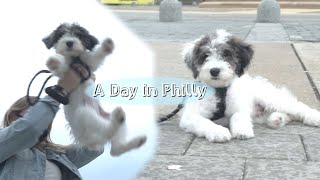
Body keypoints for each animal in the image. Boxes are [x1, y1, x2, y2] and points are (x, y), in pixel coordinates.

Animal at [42, 22, 146, 155]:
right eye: (61, 35)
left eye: (78, 35)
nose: (69, 42)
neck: (75, 58)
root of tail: (90, 143)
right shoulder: (65, 73)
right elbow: (62, 66)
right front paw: (54, 61)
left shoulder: (89, 64)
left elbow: (96, 56)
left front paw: (107, 46)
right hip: (84, 114)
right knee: (108, 134)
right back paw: (118, 119)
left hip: (105, 116)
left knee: (115, 149)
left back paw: (136, 140)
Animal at [180, 29, 320, 142]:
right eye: (205, 56)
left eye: (227, 55)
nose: (214, 70)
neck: (220, 89)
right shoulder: (190, 115)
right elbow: (203, 121)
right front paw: (218, 131)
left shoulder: (239, 105)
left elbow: (238, 115)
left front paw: (242, 131)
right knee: (285, 115)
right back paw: (277, 119)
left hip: (270, 98)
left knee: (297, 107)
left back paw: (314, 117)